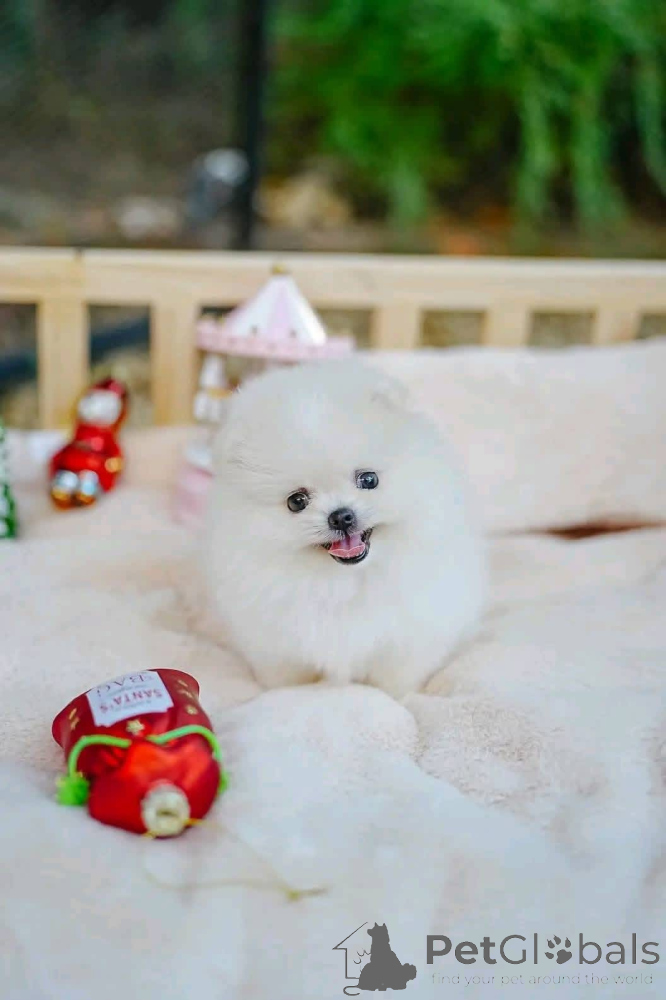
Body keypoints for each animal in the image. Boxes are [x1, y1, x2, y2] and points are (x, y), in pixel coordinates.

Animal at [202, 360, 486, 698]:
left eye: (368, 479)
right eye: (296, 501)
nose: (341, 517)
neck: (342, 582)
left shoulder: (409, 636)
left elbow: (395, 680)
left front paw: (399, 699)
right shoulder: (274, 643)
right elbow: (285, 678)